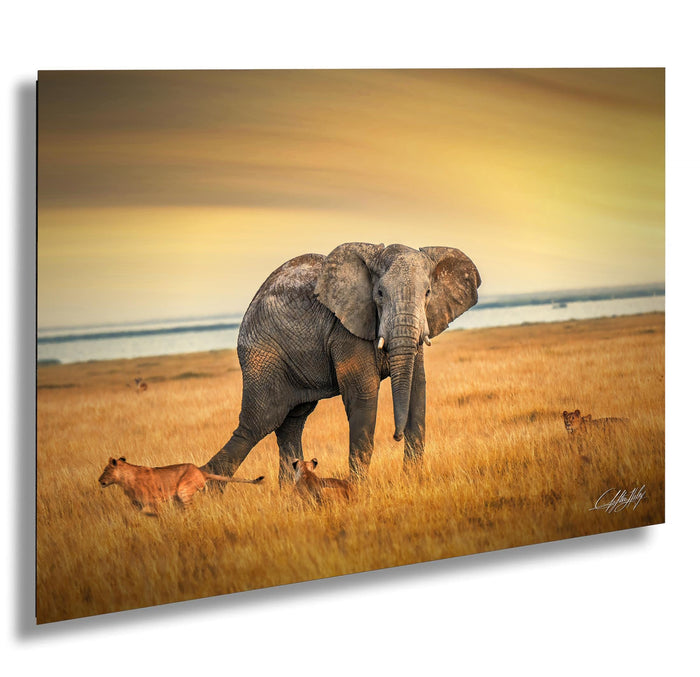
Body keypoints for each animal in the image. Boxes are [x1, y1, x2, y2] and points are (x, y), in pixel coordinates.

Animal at [203, 242, 481, 485]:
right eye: (379, 294)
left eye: (428, 293)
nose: (396, 436)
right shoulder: (345, 331)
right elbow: (363, 397)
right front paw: (359, 491)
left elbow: (417, 390)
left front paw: (411, 481)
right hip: (262, 356)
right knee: (259, 422)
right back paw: (208, 491)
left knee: (291, 424)